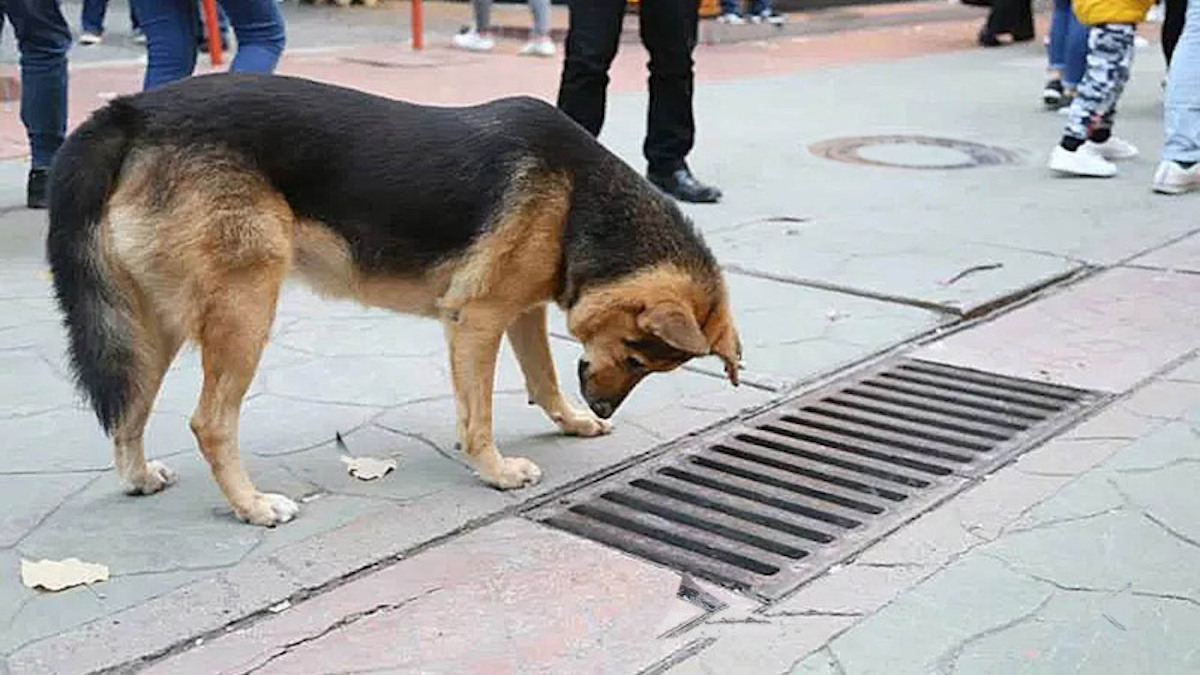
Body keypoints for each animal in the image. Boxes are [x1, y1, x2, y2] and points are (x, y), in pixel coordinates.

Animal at [44, 73, 739, 526]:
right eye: (639, 356)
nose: (603, 406)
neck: (581, 199)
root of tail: (132, 112)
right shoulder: (477, 322)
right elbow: (480, 415)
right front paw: (495, 470)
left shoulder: (520, 314)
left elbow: (542, 381)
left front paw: (571, 421)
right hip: (244, 312)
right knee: (210, 423)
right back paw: (252, 507)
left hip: (154, 323)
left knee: (128, 404)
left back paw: (137, 478)